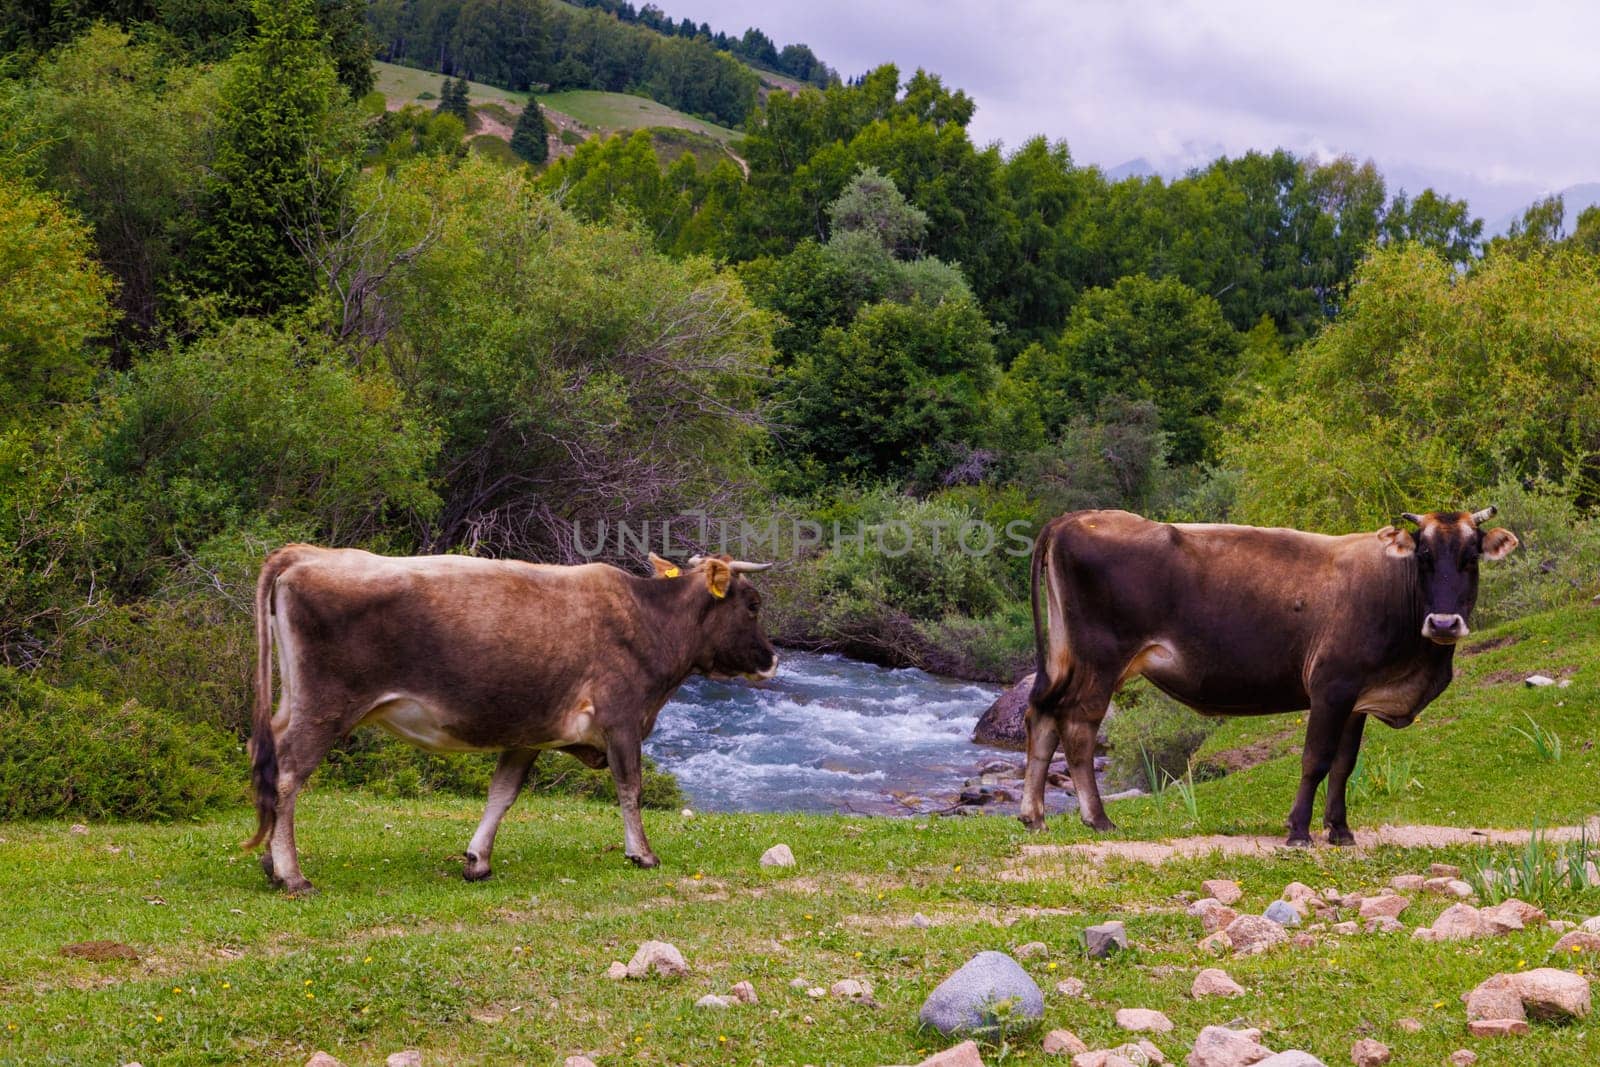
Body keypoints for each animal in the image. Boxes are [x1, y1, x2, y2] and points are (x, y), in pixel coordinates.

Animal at [241, 550, 780, 895]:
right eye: (752, 605)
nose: (773, 658)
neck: (650, 620)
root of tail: (305, 553)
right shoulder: (622, 719)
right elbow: (631, 788)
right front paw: (642, 854)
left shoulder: (528, 732)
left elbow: (502, 794)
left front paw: (477, 861)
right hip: (325, 706)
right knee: (287, 776)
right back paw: (292, 875)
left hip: (293, 703)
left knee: (269, 766)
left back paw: (270, 862)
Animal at [1017, 505, 1516, 844]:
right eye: (1424, 555)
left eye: (1471, 557)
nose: (1444, 623)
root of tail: (1076, 517)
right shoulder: (1331, 687)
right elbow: (1315, 760)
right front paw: (1298, 831)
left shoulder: (1357, 696)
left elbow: (1344, 764)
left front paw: (1340, 830)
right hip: (1102, 660)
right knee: (1077, 724)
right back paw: (1097, 818)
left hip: (1064, 658)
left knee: (1041, 713)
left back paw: (1034, 815)